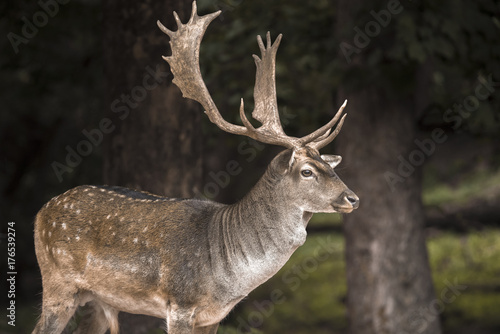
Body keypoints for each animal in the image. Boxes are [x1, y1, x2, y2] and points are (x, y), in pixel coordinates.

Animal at [32, 1, 360, 332]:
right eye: (307, 171)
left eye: (330, 166)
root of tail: (42, 211)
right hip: (57, 282)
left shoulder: (214, 315)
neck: (227, 273)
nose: (352, 198)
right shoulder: (180, 303)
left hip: (98, 301)